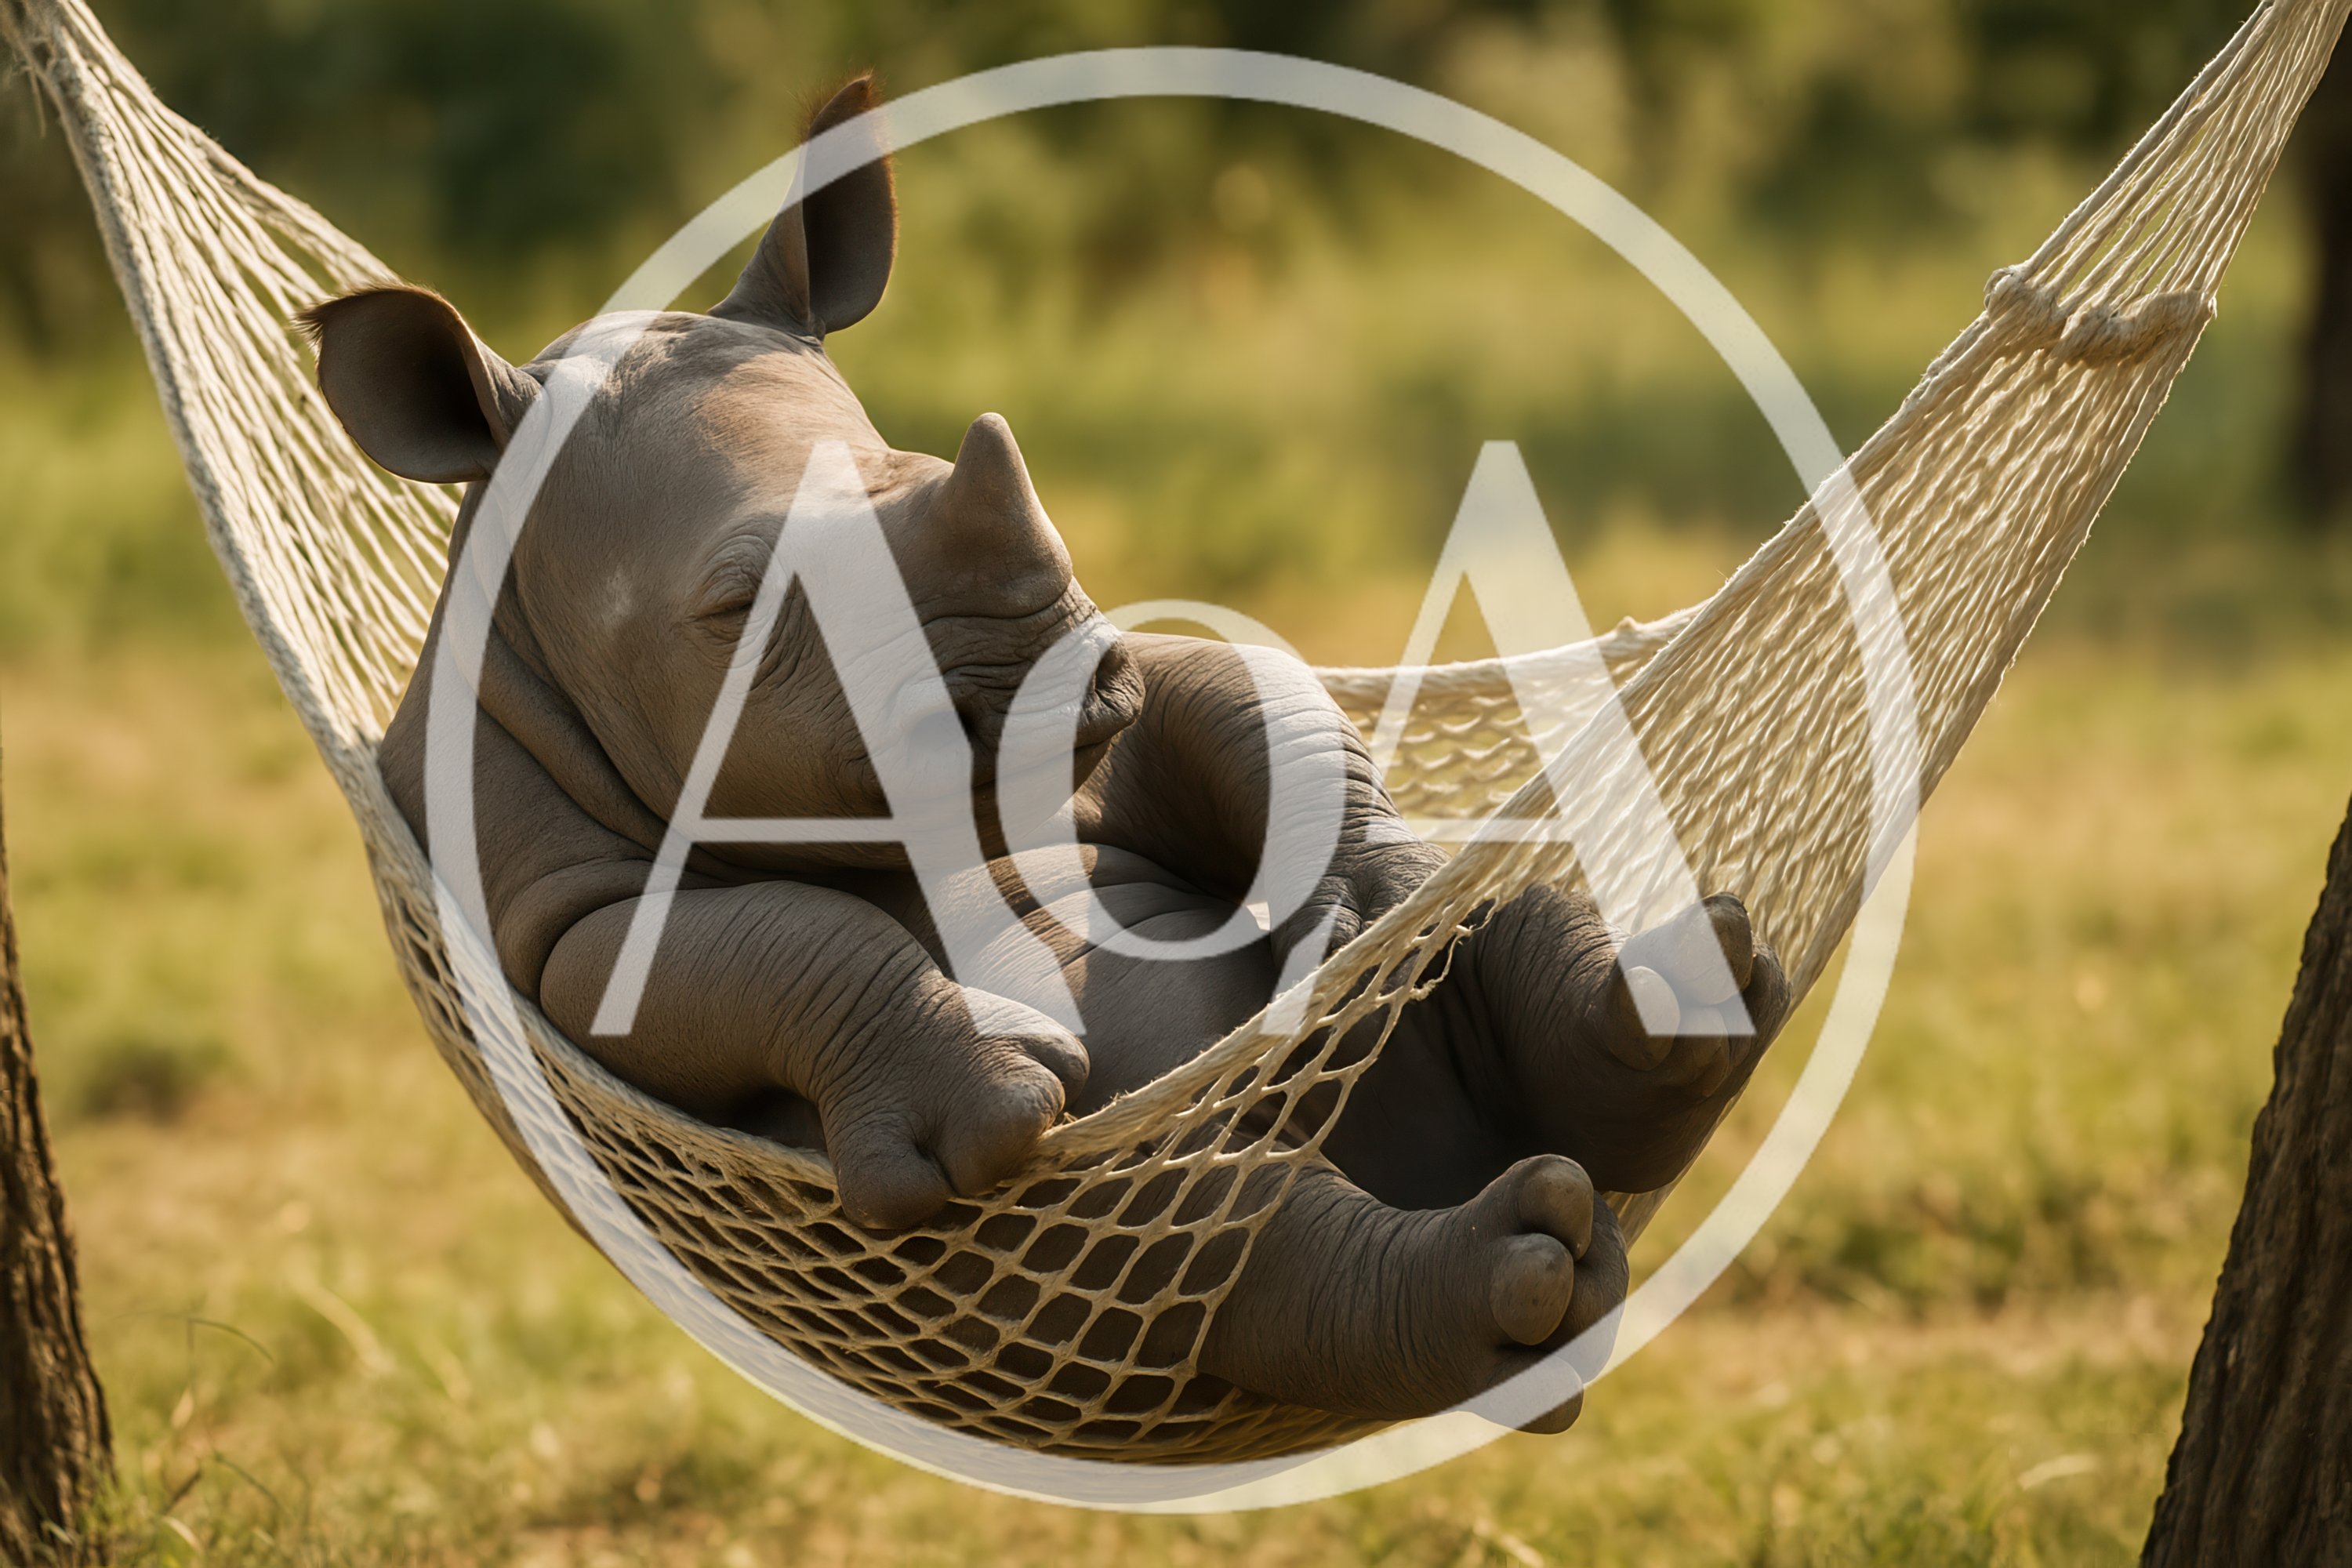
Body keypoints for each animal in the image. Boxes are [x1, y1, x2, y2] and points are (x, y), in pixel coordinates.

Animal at [303, 76, 1789, 1430]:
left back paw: (1686, 1008)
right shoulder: (547, 909)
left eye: (923, 468)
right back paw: (1527, 1285)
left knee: (1486, 944)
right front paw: (999, 1079)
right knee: (1194, 1237)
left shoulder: (1122, 736)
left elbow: (1235, 701)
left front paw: (1369, 895)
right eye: (741, 608)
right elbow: (765, 941)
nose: (1032, 674)